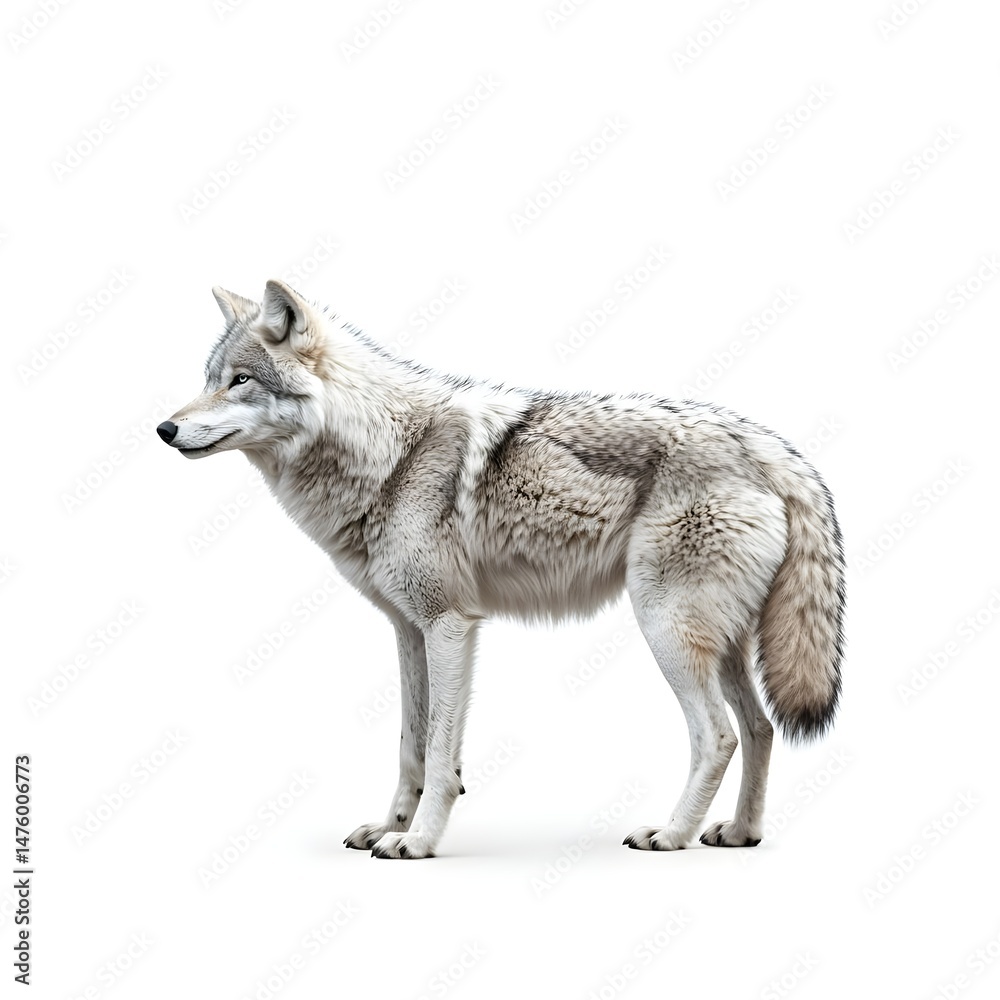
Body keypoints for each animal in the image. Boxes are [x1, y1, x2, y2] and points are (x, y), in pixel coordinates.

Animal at [157, 279, 845, 859]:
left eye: (240, 380)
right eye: (209, 379)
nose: (164, 428)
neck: (389, 453)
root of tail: (773, 448)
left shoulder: (450, 624)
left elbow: (440, 754)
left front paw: (418, 843)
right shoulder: (409, 631)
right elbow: (409, 747)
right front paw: (389, 827)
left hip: (666, 629)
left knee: (719, 736)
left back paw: (672, 834)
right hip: (718, 642)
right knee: (760, 728)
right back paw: (741, 833)